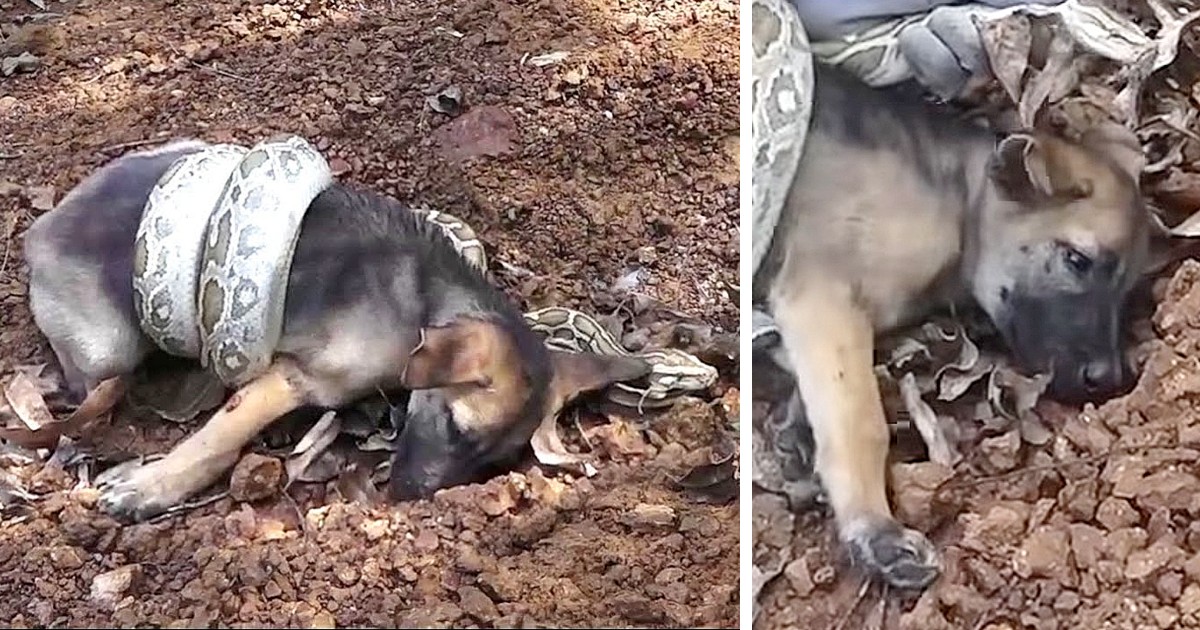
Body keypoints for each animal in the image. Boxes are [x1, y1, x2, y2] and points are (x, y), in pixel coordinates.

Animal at [25, 141, 648, 520]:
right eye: (453, 425)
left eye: (492, 463)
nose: (409, 498)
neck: (420, 306)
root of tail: (38, 231)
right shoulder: (293, 379)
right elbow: (219, 436)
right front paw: (154, 485)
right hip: (108, 349)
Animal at [748, 63, 1152, 590]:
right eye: (1077, 260)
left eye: (1128, 292)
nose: (1108, 378)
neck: (959, 196)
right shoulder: (821, 290)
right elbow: (860, 418)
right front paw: (874, 529)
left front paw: (794, 430)